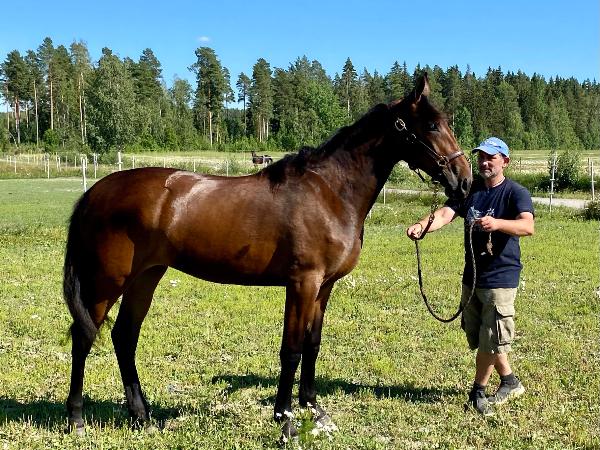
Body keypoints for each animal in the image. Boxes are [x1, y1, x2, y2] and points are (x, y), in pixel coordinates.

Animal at [63, 74, 471, 440]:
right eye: (431, 125)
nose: (464, 180)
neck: (329, 192)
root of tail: (94, 192)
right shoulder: (302, 283)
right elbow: (290, 350)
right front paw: (285, 421)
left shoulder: (324, 287)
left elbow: (312, 345)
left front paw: (313, 410)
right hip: (106, 282)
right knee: (84, 337)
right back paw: (77, 420)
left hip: (146, 276)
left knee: (124, 336)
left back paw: (141, 415)